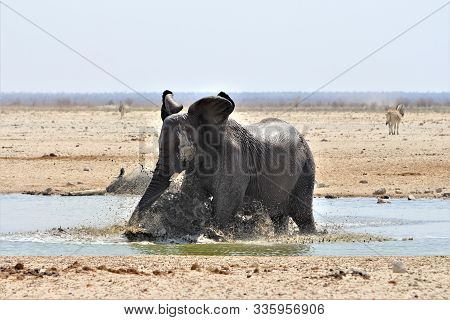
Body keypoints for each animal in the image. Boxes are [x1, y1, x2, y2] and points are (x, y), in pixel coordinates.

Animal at [126, 89, 316, 239]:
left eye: (182, 150)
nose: (131, 230)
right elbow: (191, 196)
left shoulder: (234, 161)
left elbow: (226, 202)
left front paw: (214, 233)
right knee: (279, 216)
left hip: (306, 168)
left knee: (302, 214)